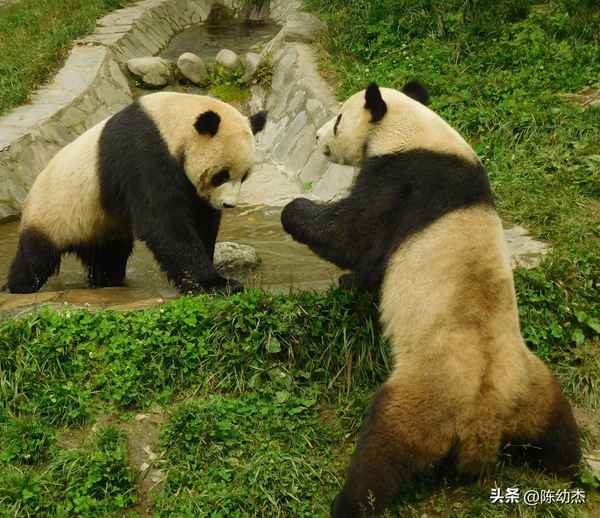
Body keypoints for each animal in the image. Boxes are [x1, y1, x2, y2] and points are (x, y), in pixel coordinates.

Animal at [5, 93, 266, 296]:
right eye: (221, 175)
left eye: (244, 176)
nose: (228, 204)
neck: (172, 121)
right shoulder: (144, 154)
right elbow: (162, 222)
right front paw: (215, 283)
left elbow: (201, 219)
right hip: (53, 211)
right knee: (36, 257)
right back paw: (18, 287)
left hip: (99, 223)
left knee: (108, 256)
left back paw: (107, 282)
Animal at [282, 83, 580, 516]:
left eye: (337, 120)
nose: (319, 138)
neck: (415, 131)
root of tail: (483, 425)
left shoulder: (401, 183)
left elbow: (356, 236)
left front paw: (298, 216)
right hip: (532, 385)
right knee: (559, 427)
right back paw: (571, 469)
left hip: (424, 396)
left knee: (383, 450)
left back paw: (349, 502)